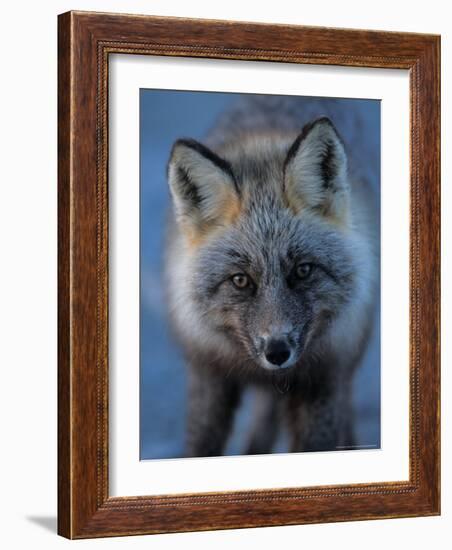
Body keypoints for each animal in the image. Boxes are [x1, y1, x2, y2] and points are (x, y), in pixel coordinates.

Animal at [164, 97, 380, 460]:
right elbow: (200, 446)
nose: (277, 351)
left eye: (303, 270)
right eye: (240, 280)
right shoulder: (208, 374)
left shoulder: (325, 379)